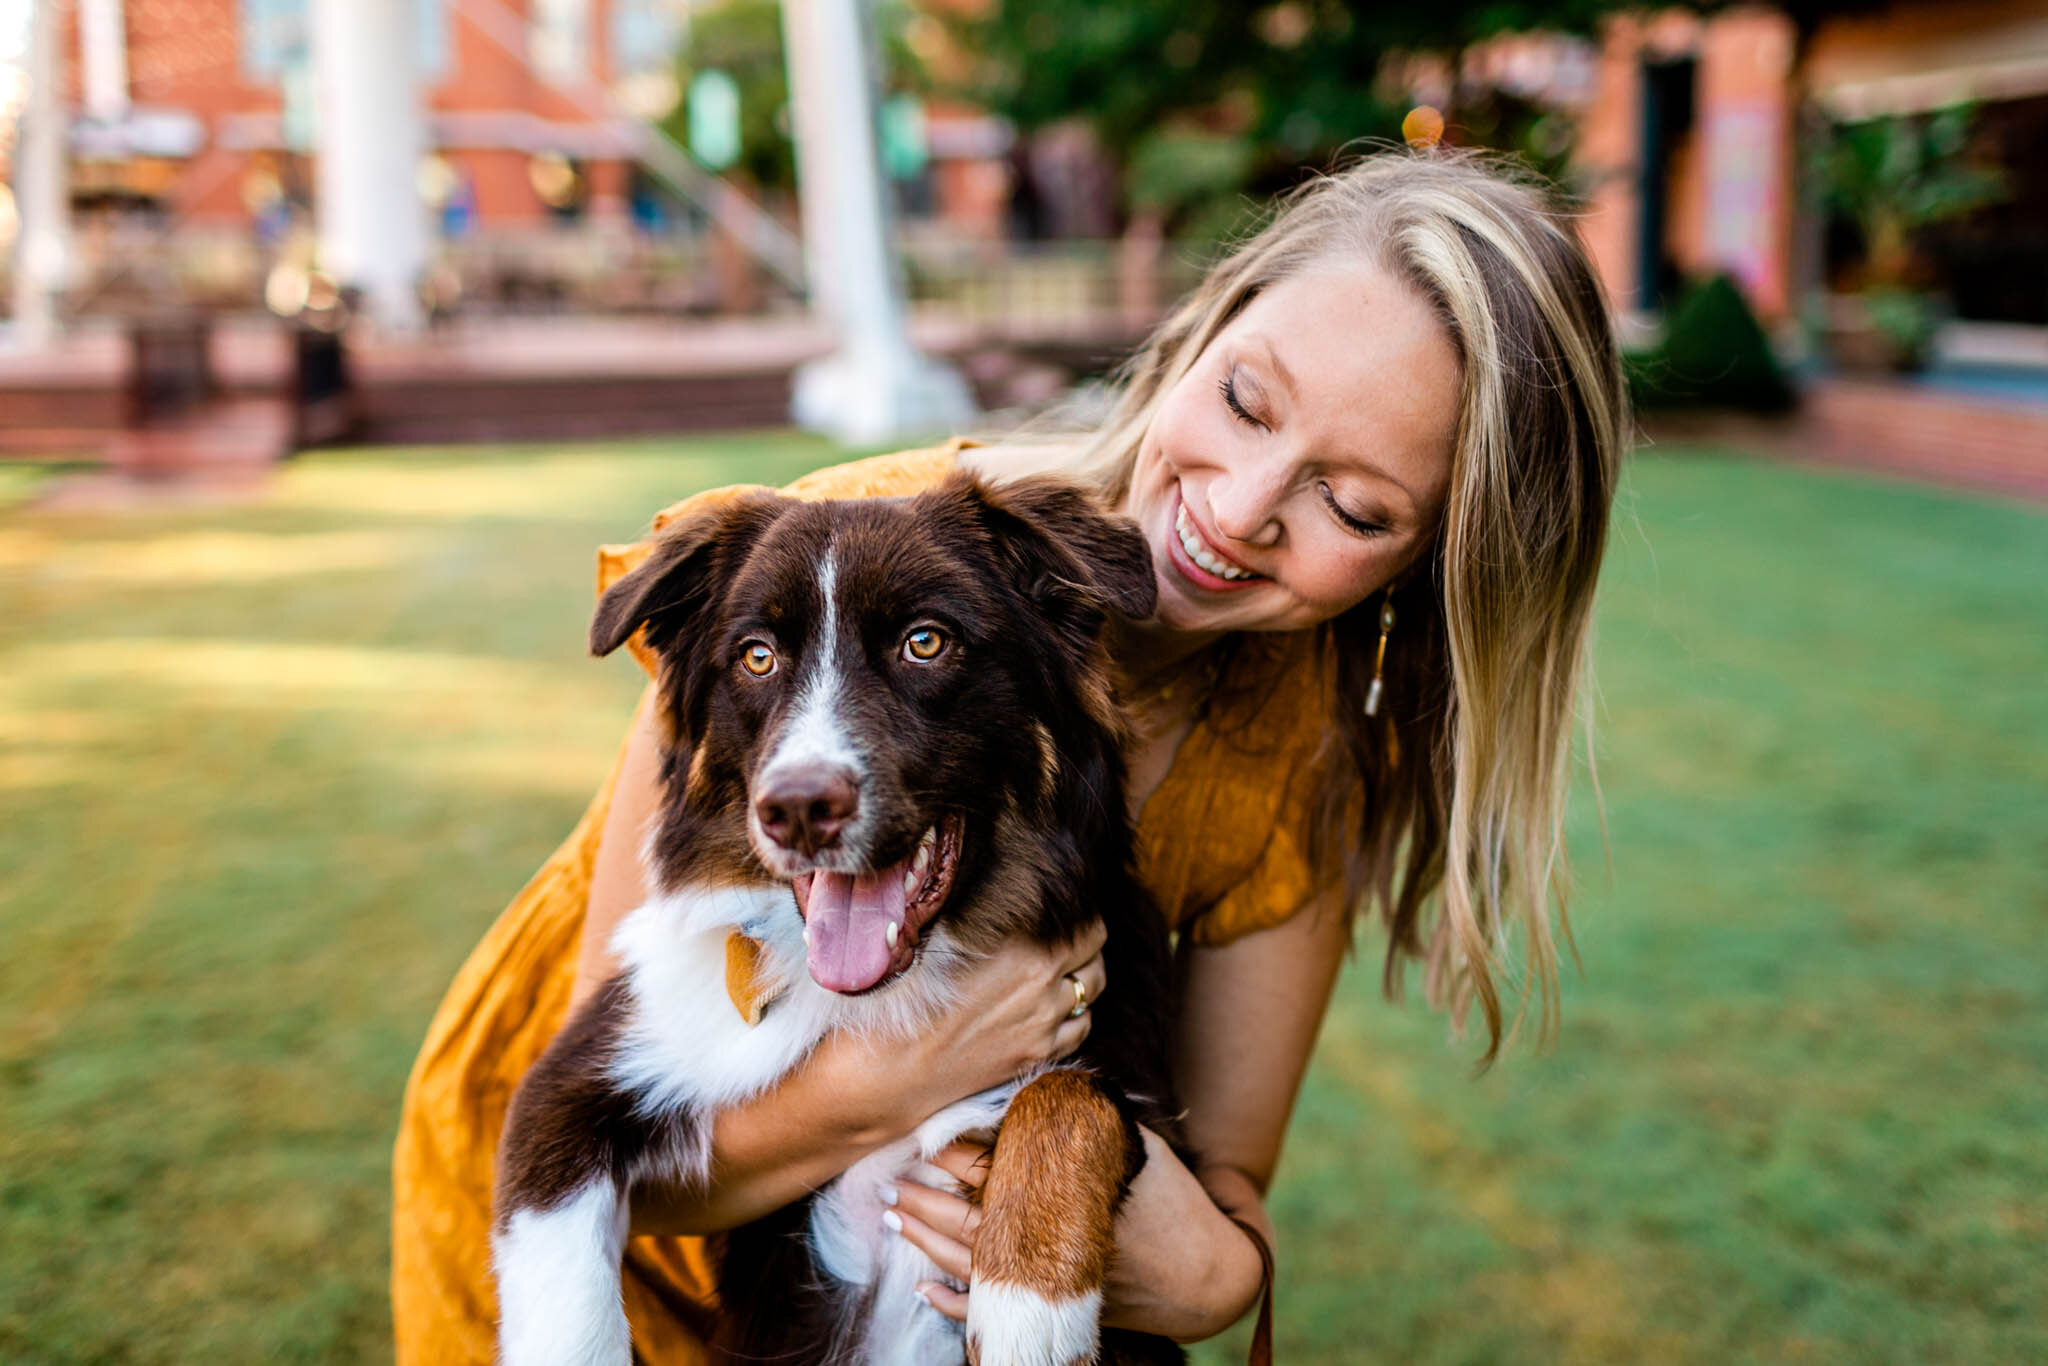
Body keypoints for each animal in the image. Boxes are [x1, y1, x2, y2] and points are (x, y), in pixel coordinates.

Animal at [491, 473, 1187, 1366]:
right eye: (757, 656)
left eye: (926, 642)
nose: (797, 808)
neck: (889, 994)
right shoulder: (569, 1089)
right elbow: (569, 1315)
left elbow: (1068, 1099)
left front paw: (1029, 1306)